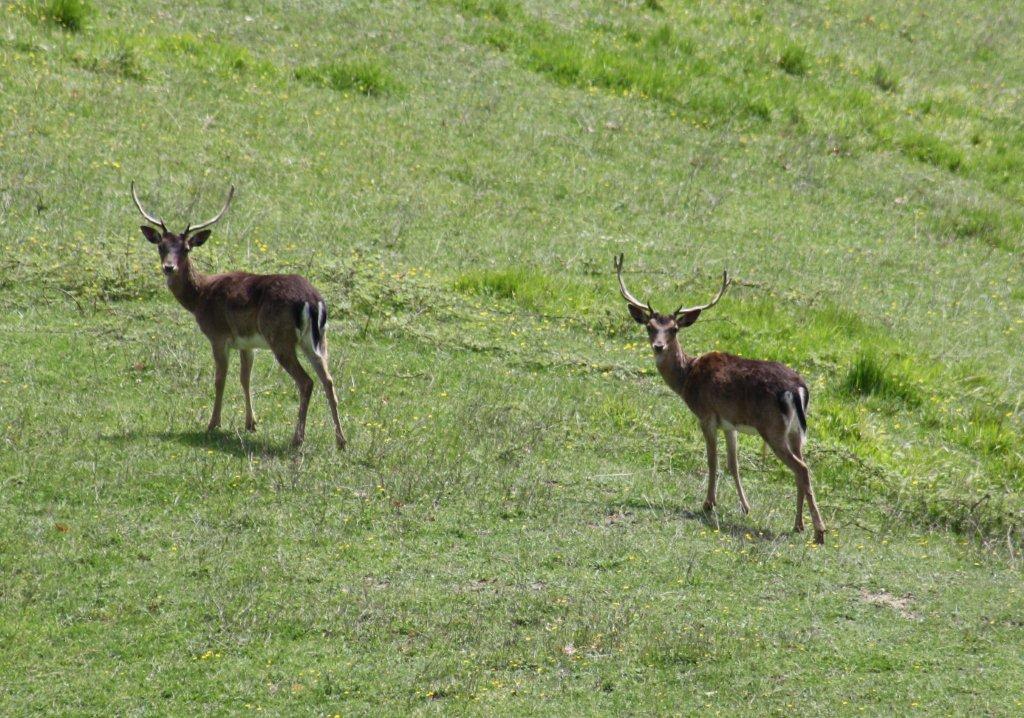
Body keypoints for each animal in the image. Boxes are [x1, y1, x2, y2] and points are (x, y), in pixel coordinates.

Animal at [133, 182, 348, 448]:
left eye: (186, 249)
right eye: (161, 246)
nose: (168, 267)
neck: (200, 296)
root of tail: (313, 301)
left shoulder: (218, 336)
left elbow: (220, 379)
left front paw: (213, 424)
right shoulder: (247, 343)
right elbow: (246, 378)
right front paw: (251, 423)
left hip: (281, 338)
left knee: (306, 382)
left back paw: (297, 439)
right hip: (317, 341)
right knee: (328, 380)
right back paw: (341, 440)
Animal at [614, 255, 823, 540]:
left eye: (674, 329)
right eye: (650, 326)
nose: (658, 346)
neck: (687, 377)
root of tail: (798, 389)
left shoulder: (707, 414)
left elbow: (712, 460)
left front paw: (708, 503)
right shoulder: (730, 423)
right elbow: (733, 463)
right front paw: (745, 507)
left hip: (772, 428)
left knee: (801, 468)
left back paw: (819, 531)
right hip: (796, 431)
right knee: (802, 467)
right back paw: (798, 524)